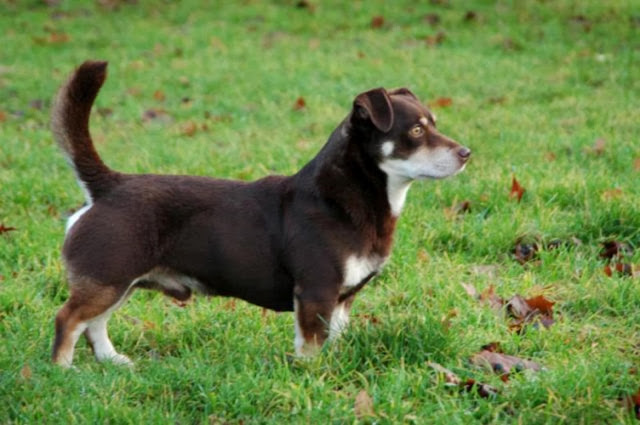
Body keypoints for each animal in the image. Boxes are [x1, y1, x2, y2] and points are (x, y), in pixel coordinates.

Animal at [51, 58, 470, 364]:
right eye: (416, 132)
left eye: (434, 124)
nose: (467, 152)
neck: (352, 198)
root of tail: (109, 185)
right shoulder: (316, 293)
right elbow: (311, 347)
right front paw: (314, 377)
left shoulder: (341, 301)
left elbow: (333, 338)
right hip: (108, 278)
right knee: (69, 319)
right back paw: (63, 371)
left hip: (118, 282)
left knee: (94, 324)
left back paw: (112, 362)